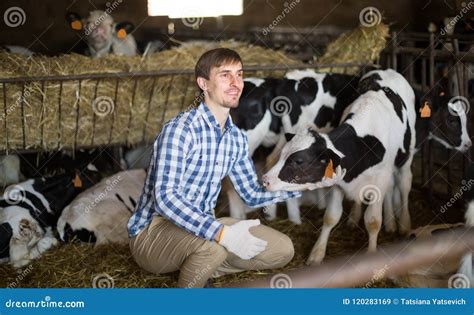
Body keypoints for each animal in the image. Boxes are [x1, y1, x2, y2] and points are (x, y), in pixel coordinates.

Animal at [262, 69, 414, 264]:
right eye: (284, 155)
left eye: (299, 161)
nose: (265, 180)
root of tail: (385, 70)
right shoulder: (339, 182)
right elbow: (331, 217)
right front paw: (317, 253)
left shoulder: (378, 181)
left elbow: (373, 221)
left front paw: (372, 255)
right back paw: (361, 219)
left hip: (406, 156)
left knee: (403, 184)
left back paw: (404, 224)